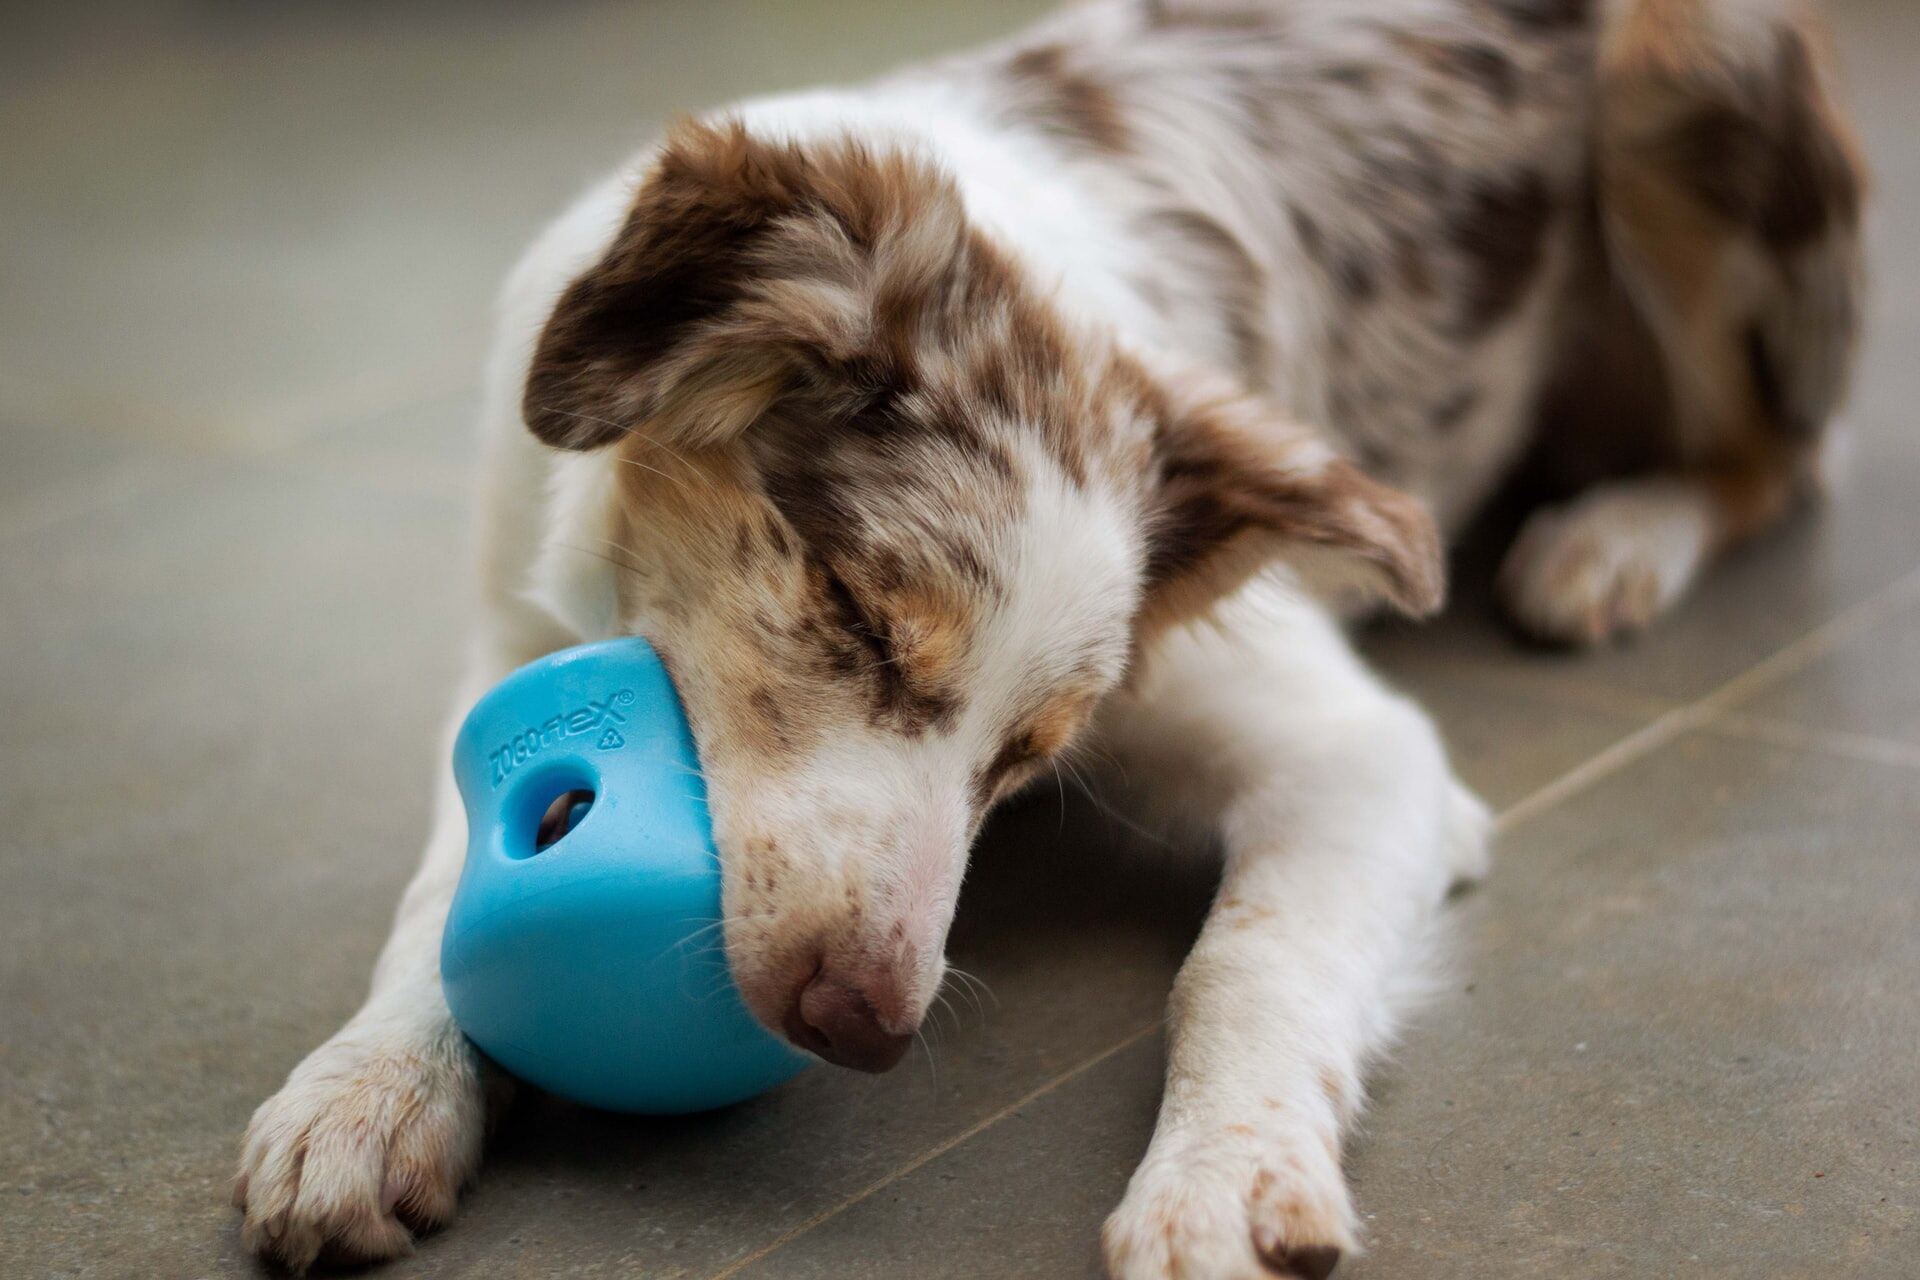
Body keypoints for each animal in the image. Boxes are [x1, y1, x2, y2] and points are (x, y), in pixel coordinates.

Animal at [232, 5, 1866, 1274]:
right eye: (856, 615)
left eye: (1026, 756)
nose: (868, 1029)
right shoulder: (506, 632)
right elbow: (443, 882)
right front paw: (363, 1094)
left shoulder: (1361, 752)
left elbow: (1246, 956)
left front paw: (1220, 1181)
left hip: (1688, 68)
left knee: (1780, 459)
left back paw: (1617, 535)